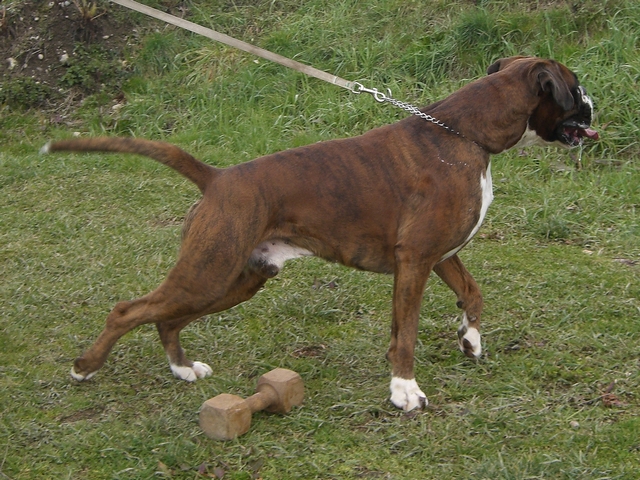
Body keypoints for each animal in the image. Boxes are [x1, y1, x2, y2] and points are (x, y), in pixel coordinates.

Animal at [42, 55, 596, 408]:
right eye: (575, 88)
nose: (594, 102)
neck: (465, 134)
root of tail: (218, 177)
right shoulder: (416, 261)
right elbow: (406, 336)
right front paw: (405, 391)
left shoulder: (438, 256)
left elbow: (472, 293)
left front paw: (470, 339)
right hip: (209, 270)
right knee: (129, 310)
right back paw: (85, 366)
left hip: (235, 279)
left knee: (167, 319)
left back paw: (182, 369)